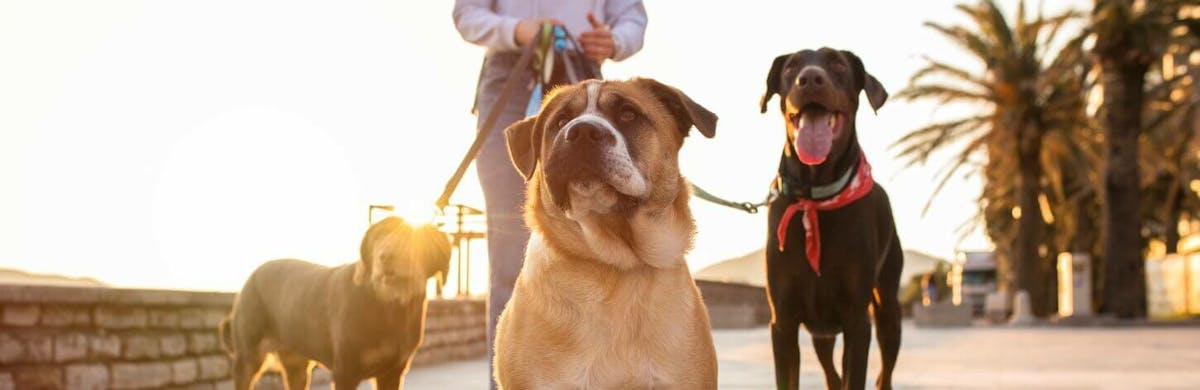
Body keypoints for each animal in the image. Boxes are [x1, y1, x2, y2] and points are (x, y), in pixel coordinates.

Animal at [219, 216, 451, 388]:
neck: (388, 306)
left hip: (297, 367)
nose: (386, 257)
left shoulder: (393, 372)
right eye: (379, 236)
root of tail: (249, 279)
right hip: (247, 359)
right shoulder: (345, 372)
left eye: (414, 238)